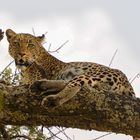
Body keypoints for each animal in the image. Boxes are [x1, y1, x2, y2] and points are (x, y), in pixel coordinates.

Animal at [5, 29, 139, 139]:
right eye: (16, 43)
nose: (22, 54)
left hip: (94, 74)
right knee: (71, 83)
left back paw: (52, 98)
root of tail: (127, 83)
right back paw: (40, 86)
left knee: (75, 85)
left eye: (30, 45)